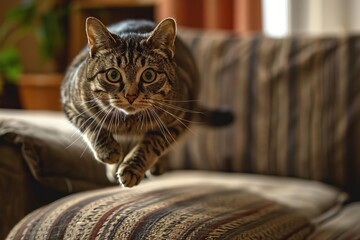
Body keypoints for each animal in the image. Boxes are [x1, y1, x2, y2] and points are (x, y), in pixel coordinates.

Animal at [60, 17, 232, 188]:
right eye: (113, 75)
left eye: (149, 75)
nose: (130, 95)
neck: (128, 124)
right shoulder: (70, 103)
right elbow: (91, 125)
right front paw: (108, 151)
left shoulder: (179, 119)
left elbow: (152, 143)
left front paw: (131, 168)